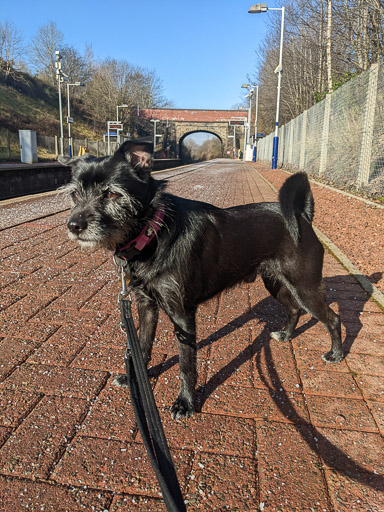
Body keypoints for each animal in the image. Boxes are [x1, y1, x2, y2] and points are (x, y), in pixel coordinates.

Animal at [60, 141, 342, 420]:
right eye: (74, 194)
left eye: (111, 194)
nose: (73, 225)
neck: (153, 232)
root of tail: (303, 216)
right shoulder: (146, 306)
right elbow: (142, 345)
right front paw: (138, 378)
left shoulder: (183, 316)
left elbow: (187, 365)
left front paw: (185, 402)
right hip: (277, 284)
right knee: (294, 309)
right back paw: (286, 335)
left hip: (305, 287)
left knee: (332, 318)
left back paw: (336, 354)